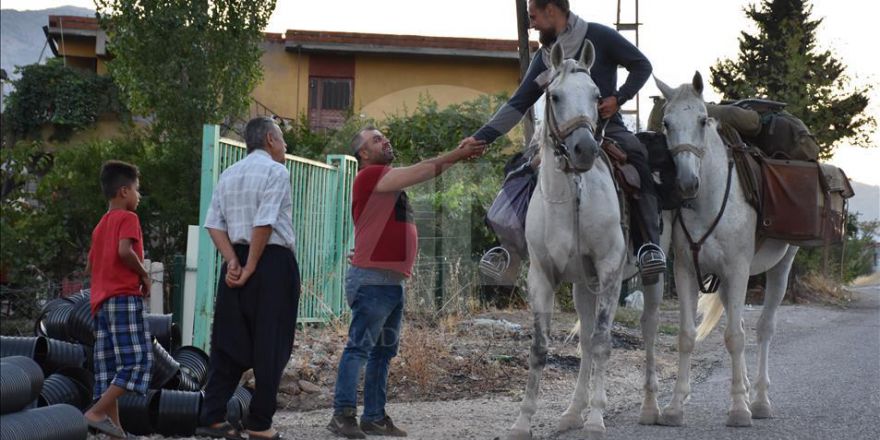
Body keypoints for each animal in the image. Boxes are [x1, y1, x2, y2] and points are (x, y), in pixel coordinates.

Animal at [506, 39, 628, 438]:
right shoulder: (543, 276)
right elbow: (541, 347)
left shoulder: (611, 272)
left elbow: (604, 341)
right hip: (582, 287)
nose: (585, 150)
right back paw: (573, 413)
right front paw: (523, 420)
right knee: (586, 344)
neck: (572, 196)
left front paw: (596, 417)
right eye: (555, 96)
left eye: (596, 95)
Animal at [648, 72, 800, 426]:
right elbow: (687, 336)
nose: (686, 183)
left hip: (781, 267)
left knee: (763, 329)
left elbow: (735, 337)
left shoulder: (738, 270)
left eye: (703, 120)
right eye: (666, 123)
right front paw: (674, 408)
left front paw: (740, 409)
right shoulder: (687, 271)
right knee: (741, 326)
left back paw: (759, 401)